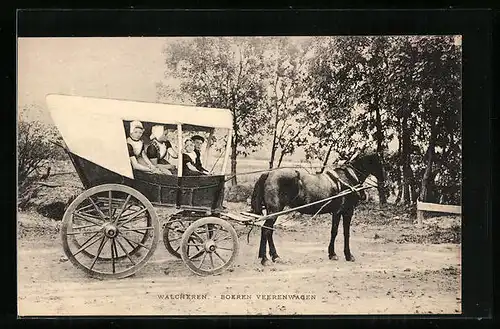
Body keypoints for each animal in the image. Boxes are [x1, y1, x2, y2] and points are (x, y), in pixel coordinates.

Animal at [250, 150, 386, 266]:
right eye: (381, 162)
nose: (384, 182)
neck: (348, 179)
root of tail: (268, 173)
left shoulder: (338, 212)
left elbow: (334, 232)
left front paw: (332, 254)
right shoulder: (346, 212)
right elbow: (343, 233)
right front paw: (347, 255)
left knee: (268, 230)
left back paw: (272, 256)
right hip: (274, 211)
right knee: (266, 230)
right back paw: (266, 258)